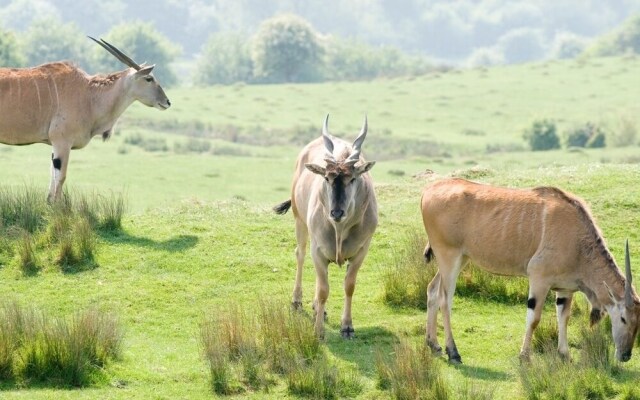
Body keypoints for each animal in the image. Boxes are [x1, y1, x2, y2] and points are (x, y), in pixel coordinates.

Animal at [0, 36, 171, 202]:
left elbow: (52, 180)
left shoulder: (55, 146)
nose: (167, 102)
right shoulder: (62, 142)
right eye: (149, 78)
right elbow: (60, 178)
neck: (89, 95)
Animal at [274, 114, 376, 340]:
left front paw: (347, 327)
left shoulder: (361, 251)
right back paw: (298, 301)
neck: (340, 230)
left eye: (352, 178)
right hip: (300, 222)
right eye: (327, 178)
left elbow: (349, 286)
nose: (336, 213)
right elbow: (323, 290)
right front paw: (318, 331)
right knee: (300, 255)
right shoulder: (318, 250)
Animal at [420, 178, 640, 362]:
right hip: (449, 258)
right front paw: (524, 356)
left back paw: (434, 345)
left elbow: (564, 317)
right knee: (445, 300)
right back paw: (453, 352)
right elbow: (534, 318)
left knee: (432, 290)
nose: (625, 355)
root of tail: (429, 190)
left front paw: (564, 354)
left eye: (637, 322)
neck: (578, 241)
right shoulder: (539, 279)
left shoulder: (565, 289)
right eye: (623, 318)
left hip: (459, 259)